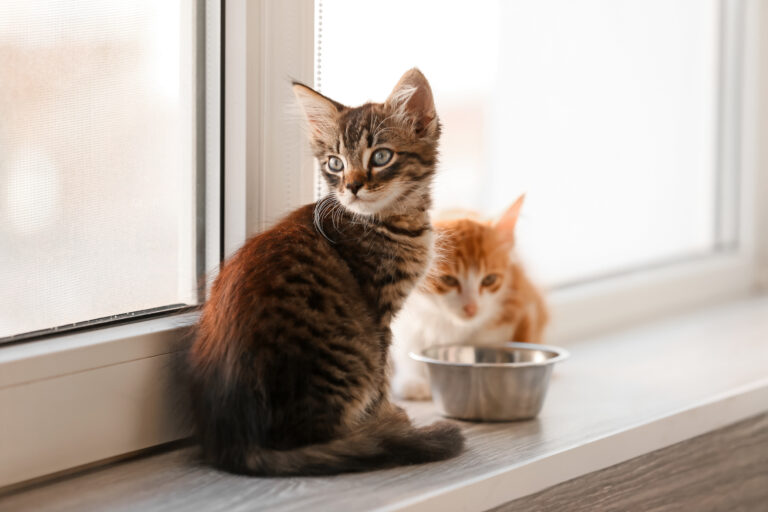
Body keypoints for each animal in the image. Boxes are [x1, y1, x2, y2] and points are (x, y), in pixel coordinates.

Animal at [188, 69, 462, 476]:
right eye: (335, 163)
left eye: (381, 156)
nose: (352, 186)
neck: (390, 220)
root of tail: (240, 443)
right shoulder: (379, 314)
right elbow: (382, 378)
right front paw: (387, 415)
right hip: (350, 352)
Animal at [392, 196, 548, 400]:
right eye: (448, 280)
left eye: (489, 279)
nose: (471, 308)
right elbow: (410, 343)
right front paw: (413, 380)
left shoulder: (516, 301)